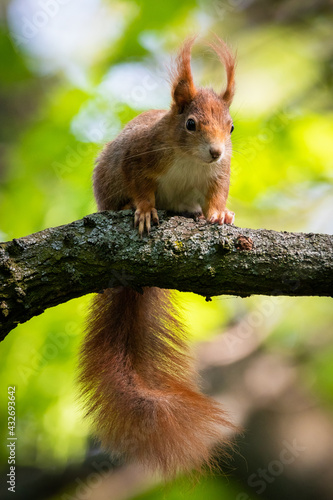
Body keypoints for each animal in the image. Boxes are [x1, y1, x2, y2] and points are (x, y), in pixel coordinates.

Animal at [79, 36, 236, 476]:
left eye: (232, 127)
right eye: (191, 124)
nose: (217, 152)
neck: (190, 159)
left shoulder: (218, 176)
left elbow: (217, 194)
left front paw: (219, 214)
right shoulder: (139, 156)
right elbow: (140, 186)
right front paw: (146, 210)